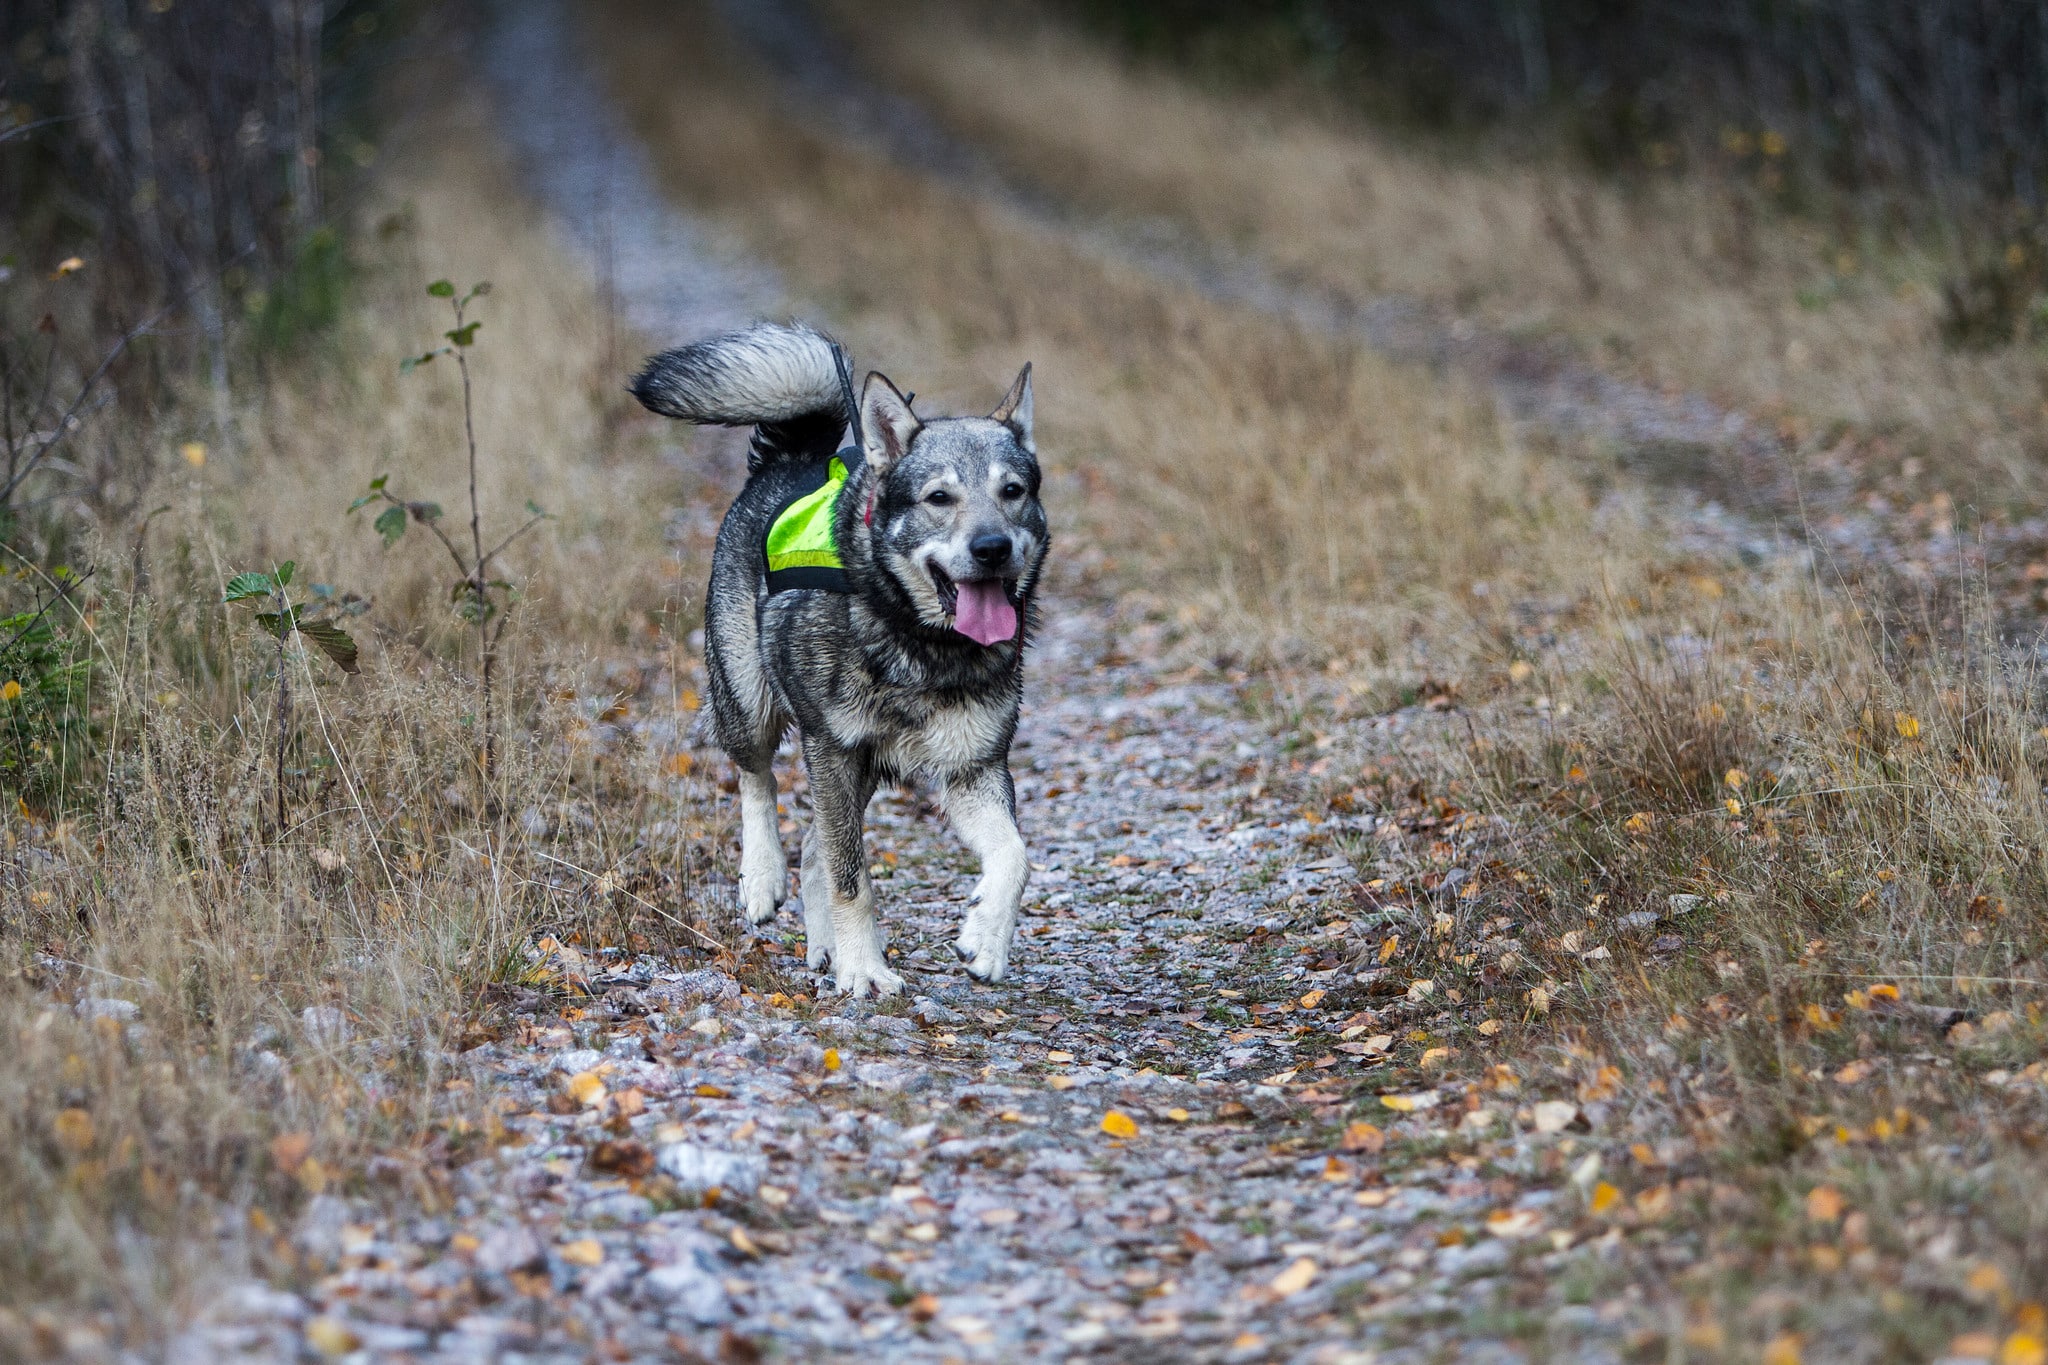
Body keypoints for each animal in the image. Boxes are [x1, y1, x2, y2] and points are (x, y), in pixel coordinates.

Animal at [630, 325, 1048, 998]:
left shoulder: (971, 768)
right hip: (751, 705)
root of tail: (791, 457)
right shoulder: (833, 750)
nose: (992, 548)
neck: (916, 638)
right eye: (939, 497)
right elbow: (854, 879)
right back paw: (763, 878)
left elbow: (1015, 856)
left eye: (1012, 491)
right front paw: (864, 968)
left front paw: (986, 937)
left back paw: (822, 942)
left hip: (861, 772)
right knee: (760, 782)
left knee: (815, 847)